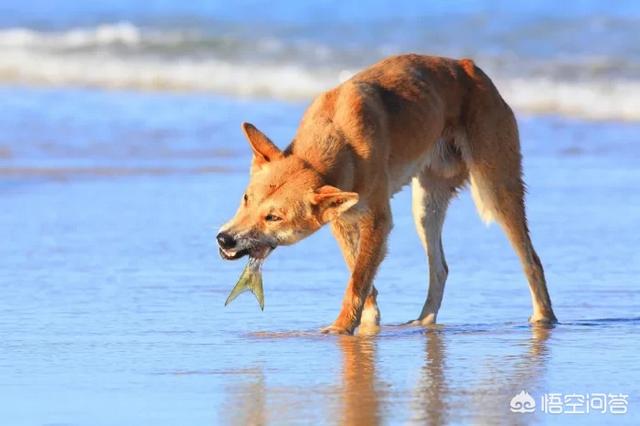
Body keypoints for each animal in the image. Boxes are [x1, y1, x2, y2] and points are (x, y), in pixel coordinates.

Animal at [218, 53, 556, 334]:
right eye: (246, 199)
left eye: (274, 217)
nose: (224, 239)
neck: (339, 136)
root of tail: (470, 66)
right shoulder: (342, 220)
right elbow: (359, 271)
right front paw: (368, 321)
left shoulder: (377, 220)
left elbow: (358, 278)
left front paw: (342, 326)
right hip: (425, 208)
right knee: (440, 268)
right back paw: (424, 322)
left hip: (496, 190)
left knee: (532, 260)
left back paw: (544, 317)